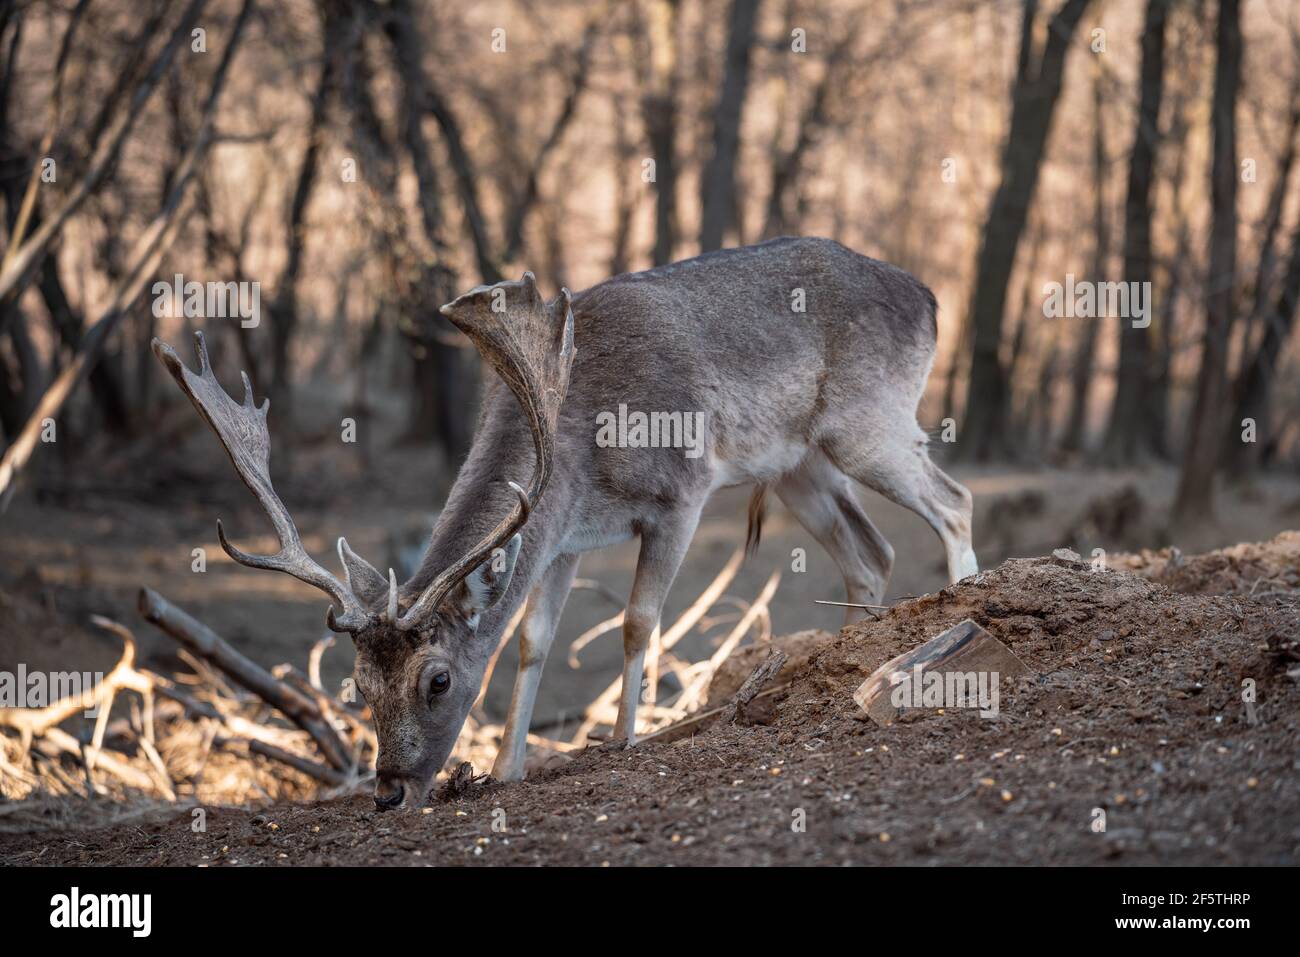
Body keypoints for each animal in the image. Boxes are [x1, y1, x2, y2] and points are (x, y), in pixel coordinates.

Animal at [152, 236, 978, 810]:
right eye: (357, 684)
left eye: (438, 679)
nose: (387, 790)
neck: (583, 446)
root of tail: (932, 299)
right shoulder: (562, 538)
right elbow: (532, 640)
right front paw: (505, 768)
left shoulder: (681, 491)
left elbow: (638, 619)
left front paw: (621, 736)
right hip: (798, 464)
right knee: (871, 551)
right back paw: (851, 651)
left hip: (867, 420)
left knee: (955, 498)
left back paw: (962, 612)